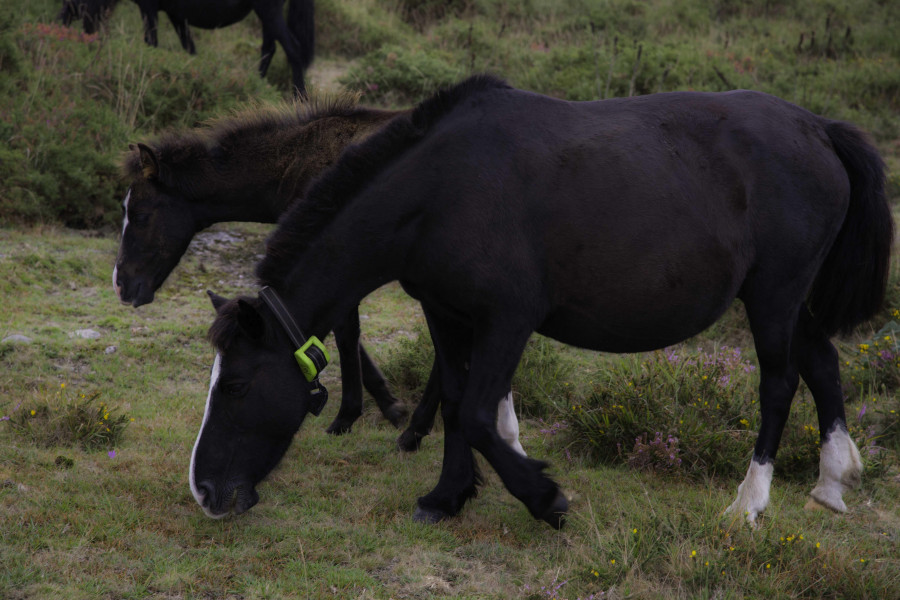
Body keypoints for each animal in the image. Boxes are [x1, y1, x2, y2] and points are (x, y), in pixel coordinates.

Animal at [59, 0, 312, 94]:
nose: (60, 23)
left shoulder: (149, 8)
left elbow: (151, 44)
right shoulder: (176, 15)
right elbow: (190, 50)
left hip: (268, 10)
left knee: (293, 49)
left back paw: (299, 97)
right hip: (267, 14)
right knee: (269, 49)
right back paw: (256, 84)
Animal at [190, 77, 892, 528]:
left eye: (238, 386)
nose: (205, 491)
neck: (442, 190)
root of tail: (818, 128)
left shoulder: (508, 319)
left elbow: (478, 414)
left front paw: (544, 498)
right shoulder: (447, 313)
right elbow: (454, 401)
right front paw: (447, 497)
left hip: (773, 296)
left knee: (779, 383)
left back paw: (748, 504)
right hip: (790, 300)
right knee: (822, 362)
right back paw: (831, 484)